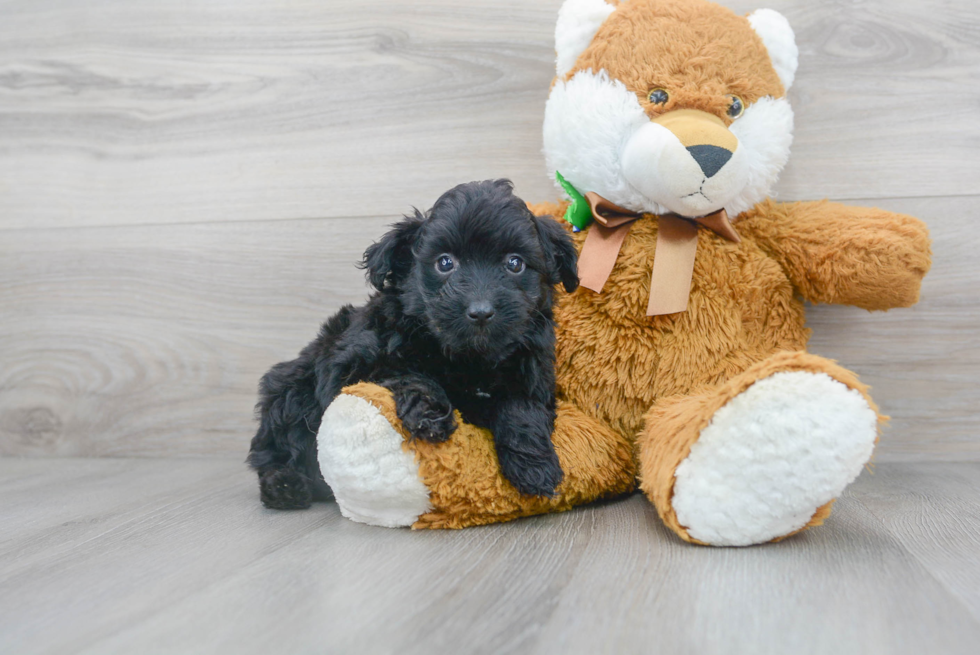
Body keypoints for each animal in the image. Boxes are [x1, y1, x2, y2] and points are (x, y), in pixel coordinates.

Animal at [249, 181, 580, 512]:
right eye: (445, 262)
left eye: (515, 263)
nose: (481, 311)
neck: (469, 358)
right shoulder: (356, 363)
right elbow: (407, 374)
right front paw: (429, 413)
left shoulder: (532, 374)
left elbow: (521, 407)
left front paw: (535, 466)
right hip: (292, 392)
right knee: (277, 449)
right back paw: (285, 486)